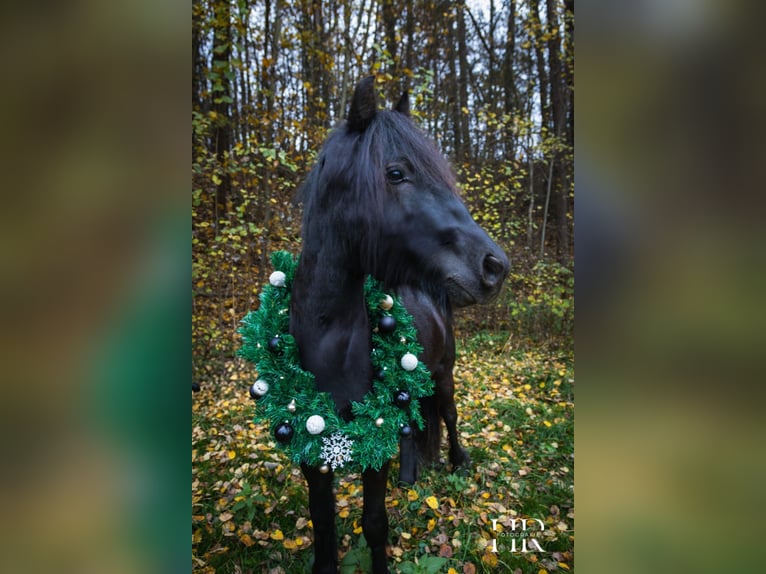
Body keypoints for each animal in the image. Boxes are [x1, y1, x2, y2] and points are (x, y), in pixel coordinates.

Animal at [289, 76, 508, 574]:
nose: (495, 266)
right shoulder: (309, 448)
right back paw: (411, 474)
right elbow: (322, 524)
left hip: (444, 374)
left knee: (447, 415)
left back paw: (458, 461)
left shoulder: (374, 438)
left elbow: (374, 523)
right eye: (395, 173)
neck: (328, 339)